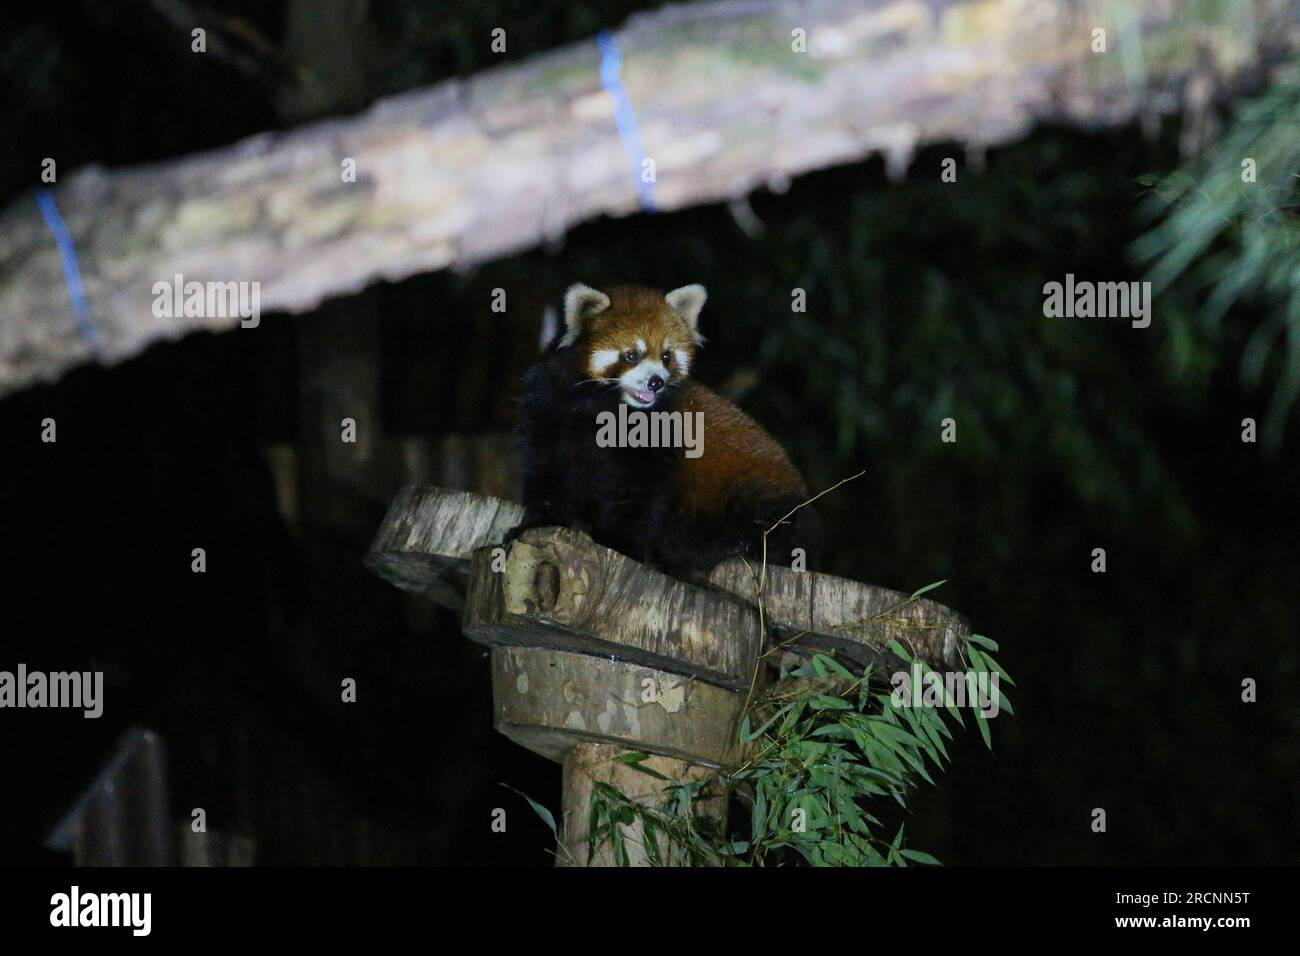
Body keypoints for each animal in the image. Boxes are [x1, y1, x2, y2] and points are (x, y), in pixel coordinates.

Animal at [509, 280, 821, 572]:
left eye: (666, 356)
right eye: (631, 355)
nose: (655, 382)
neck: (604, 408)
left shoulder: (658, 441)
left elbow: (642, 497)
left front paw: (622, 544)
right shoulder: (549, 412)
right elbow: (547, 470)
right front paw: (538, 522)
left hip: (756, 490)